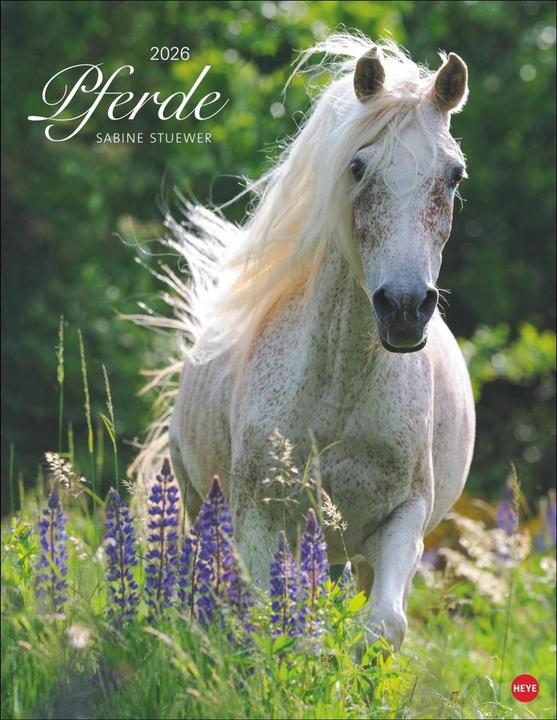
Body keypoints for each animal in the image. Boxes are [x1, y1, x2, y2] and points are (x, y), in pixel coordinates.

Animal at [138, 34, 475, 650]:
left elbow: (382, 625)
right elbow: (263, 618)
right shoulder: (258, 518)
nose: (404, 309)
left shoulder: (403, 519)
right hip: (201, 504)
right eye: (358, 166)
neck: (339, 393)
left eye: (454, 175)